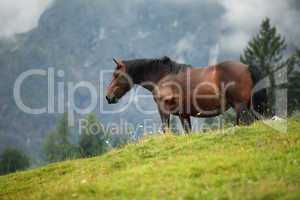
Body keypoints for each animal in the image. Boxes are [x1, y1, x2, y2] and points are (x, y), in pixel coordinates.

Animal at [105, 56, 253, 133]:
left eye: (116, 75)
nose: (108, 97)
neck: (163, 77)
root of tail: (246, 67)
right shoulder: (184, 115)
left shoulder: (164, 110)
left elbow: (166, 129)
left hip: (240, 107)